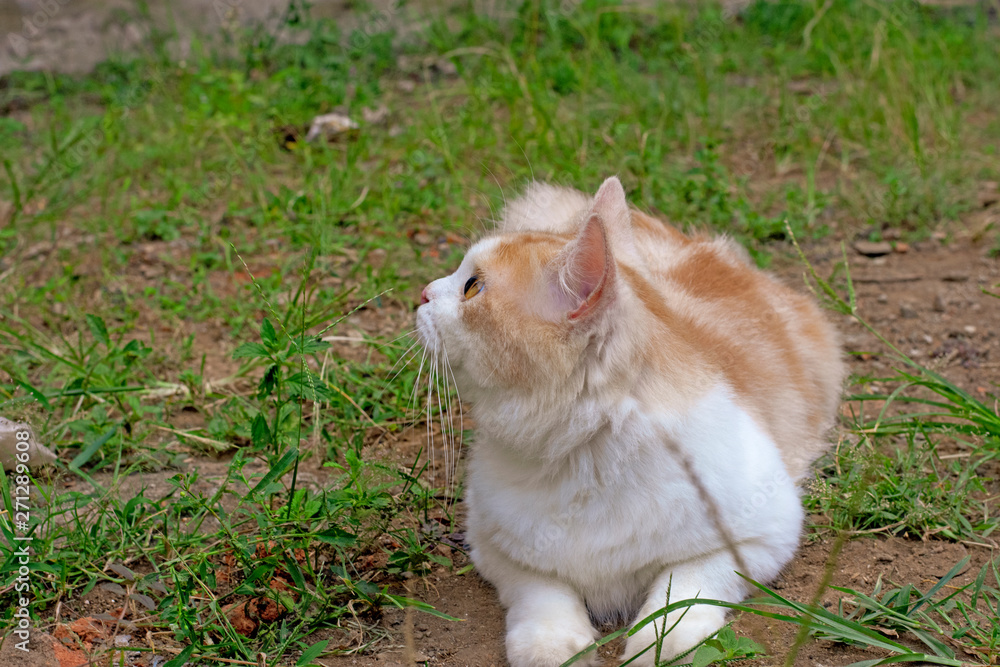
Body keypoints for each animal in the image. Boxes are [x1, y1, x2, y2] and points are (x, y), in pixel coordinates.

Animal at [414, 177, 844, 667]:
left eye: (471, 287)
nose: (423, 293)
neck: (585, 455)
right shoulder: (494, 544)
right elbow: (543, 594)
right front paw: (556, 646)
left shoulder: (763, 534)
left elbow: (685, 590)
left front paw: (661, 643)